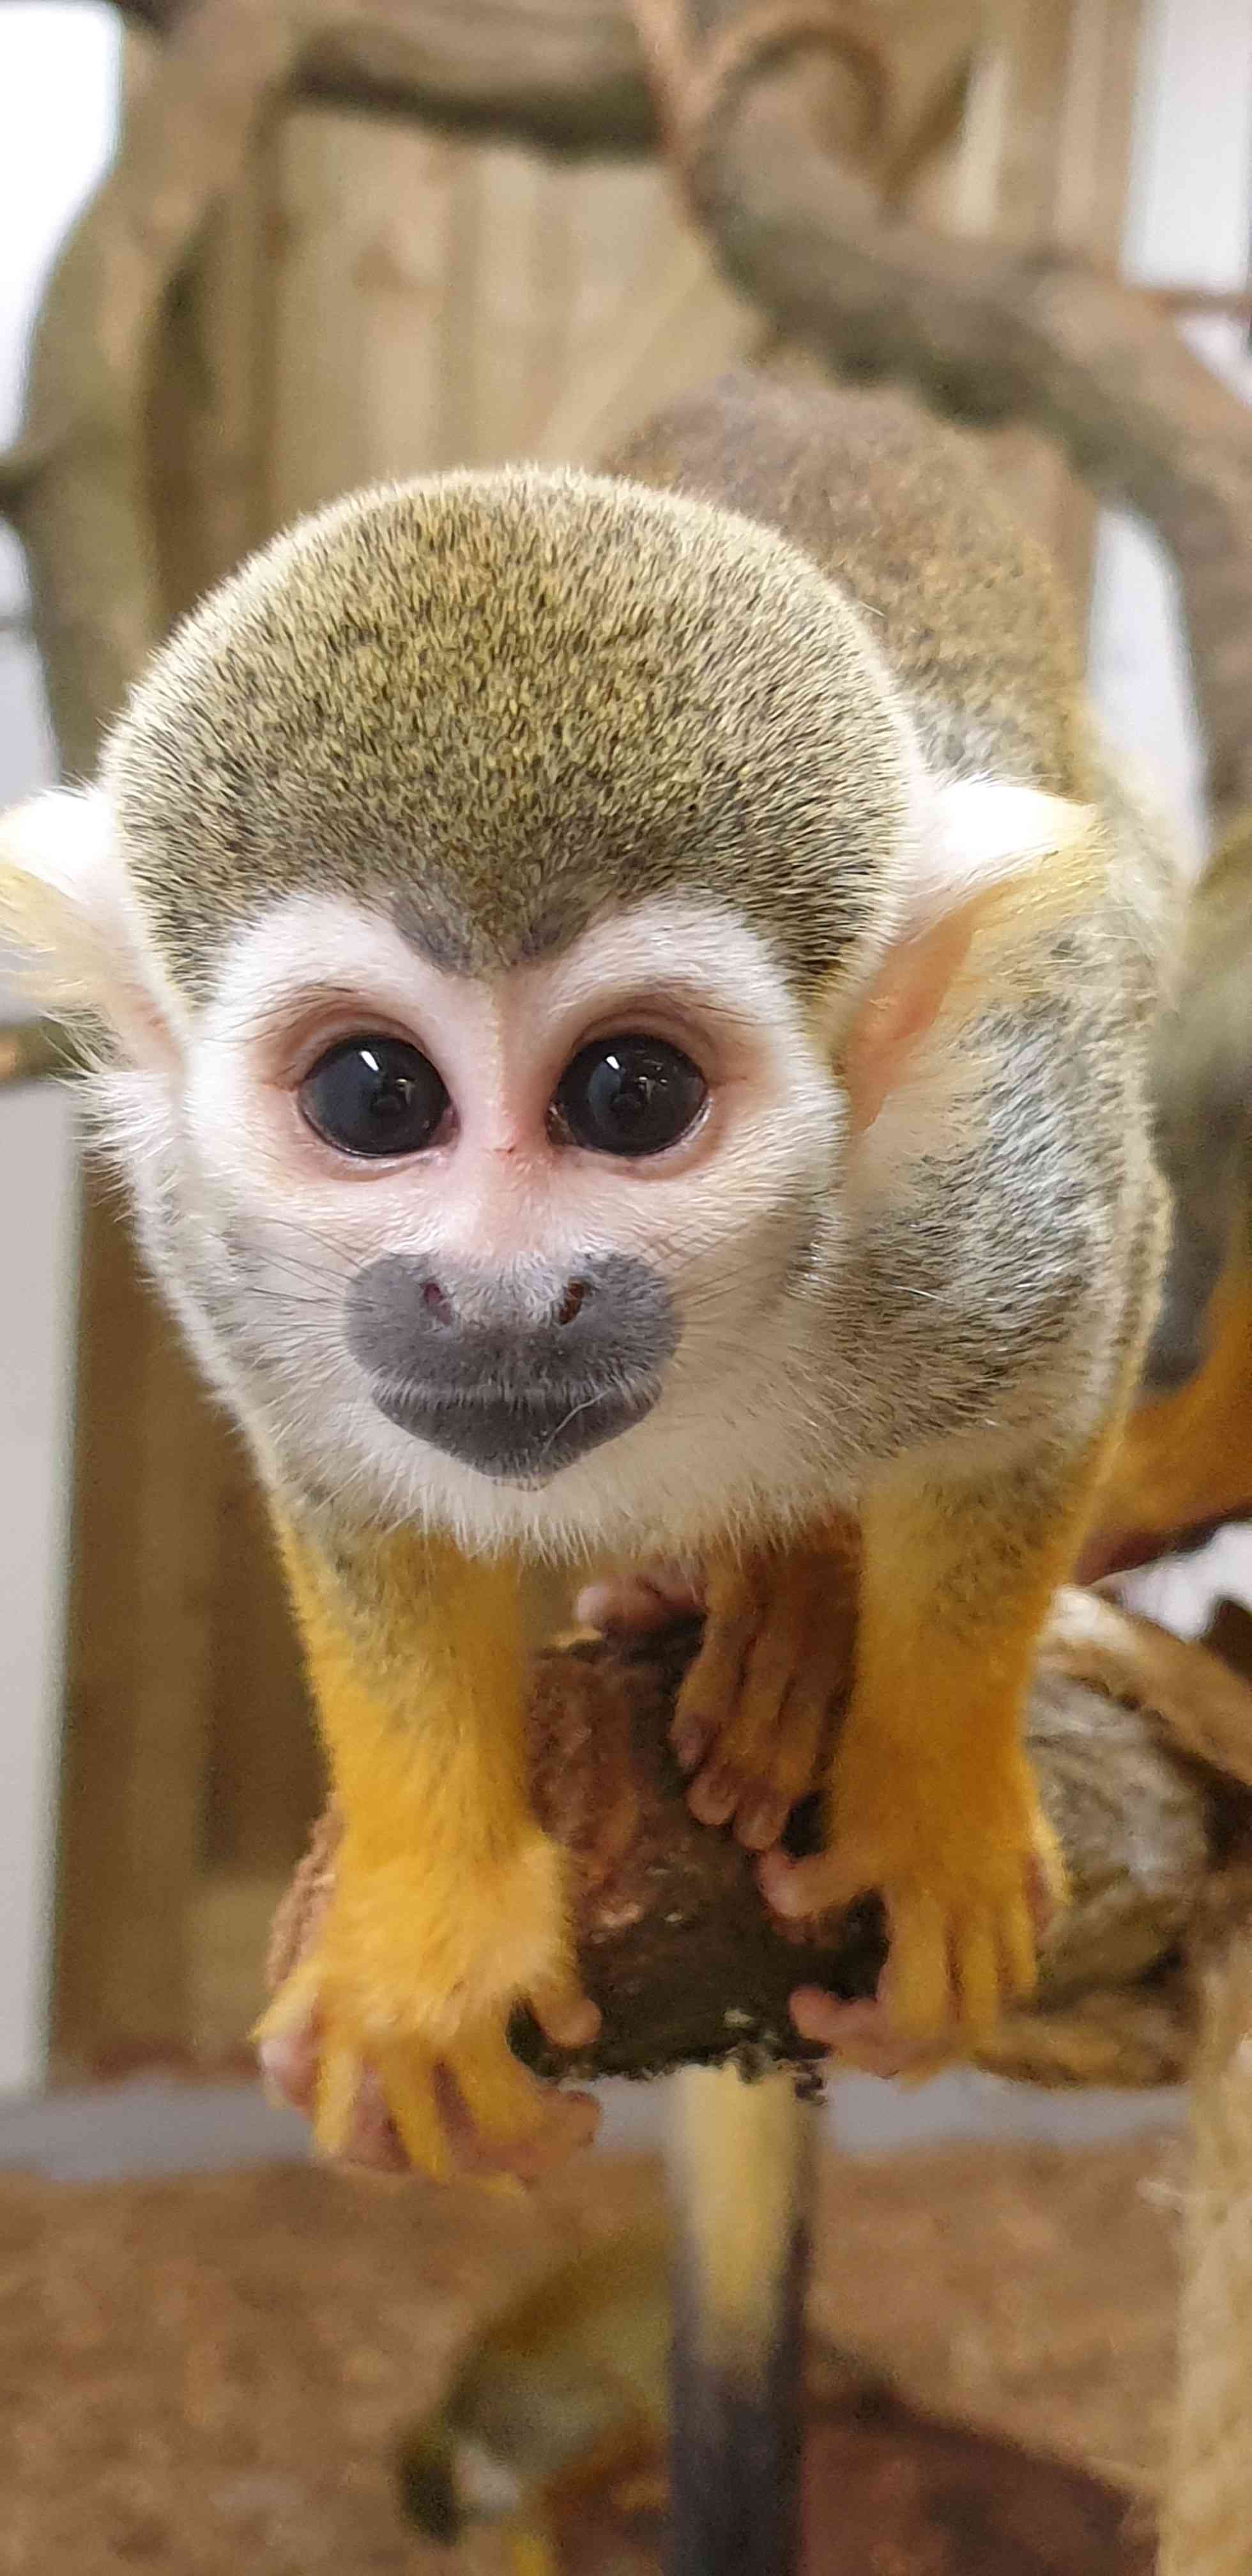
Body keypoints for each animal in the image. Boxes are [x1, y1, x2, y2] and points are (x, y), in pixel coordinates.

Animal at [0, 363, 1175, 2174]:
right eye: (372, 1095)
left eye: (632, 1095)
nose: (500, 1297)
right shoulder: (220, 1261)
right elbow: (355, 1488)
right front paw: (430, 1922)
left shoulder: (999, 1194)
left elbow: (1054, 1392)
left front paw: (928, 1808)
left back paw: (796, 1601)